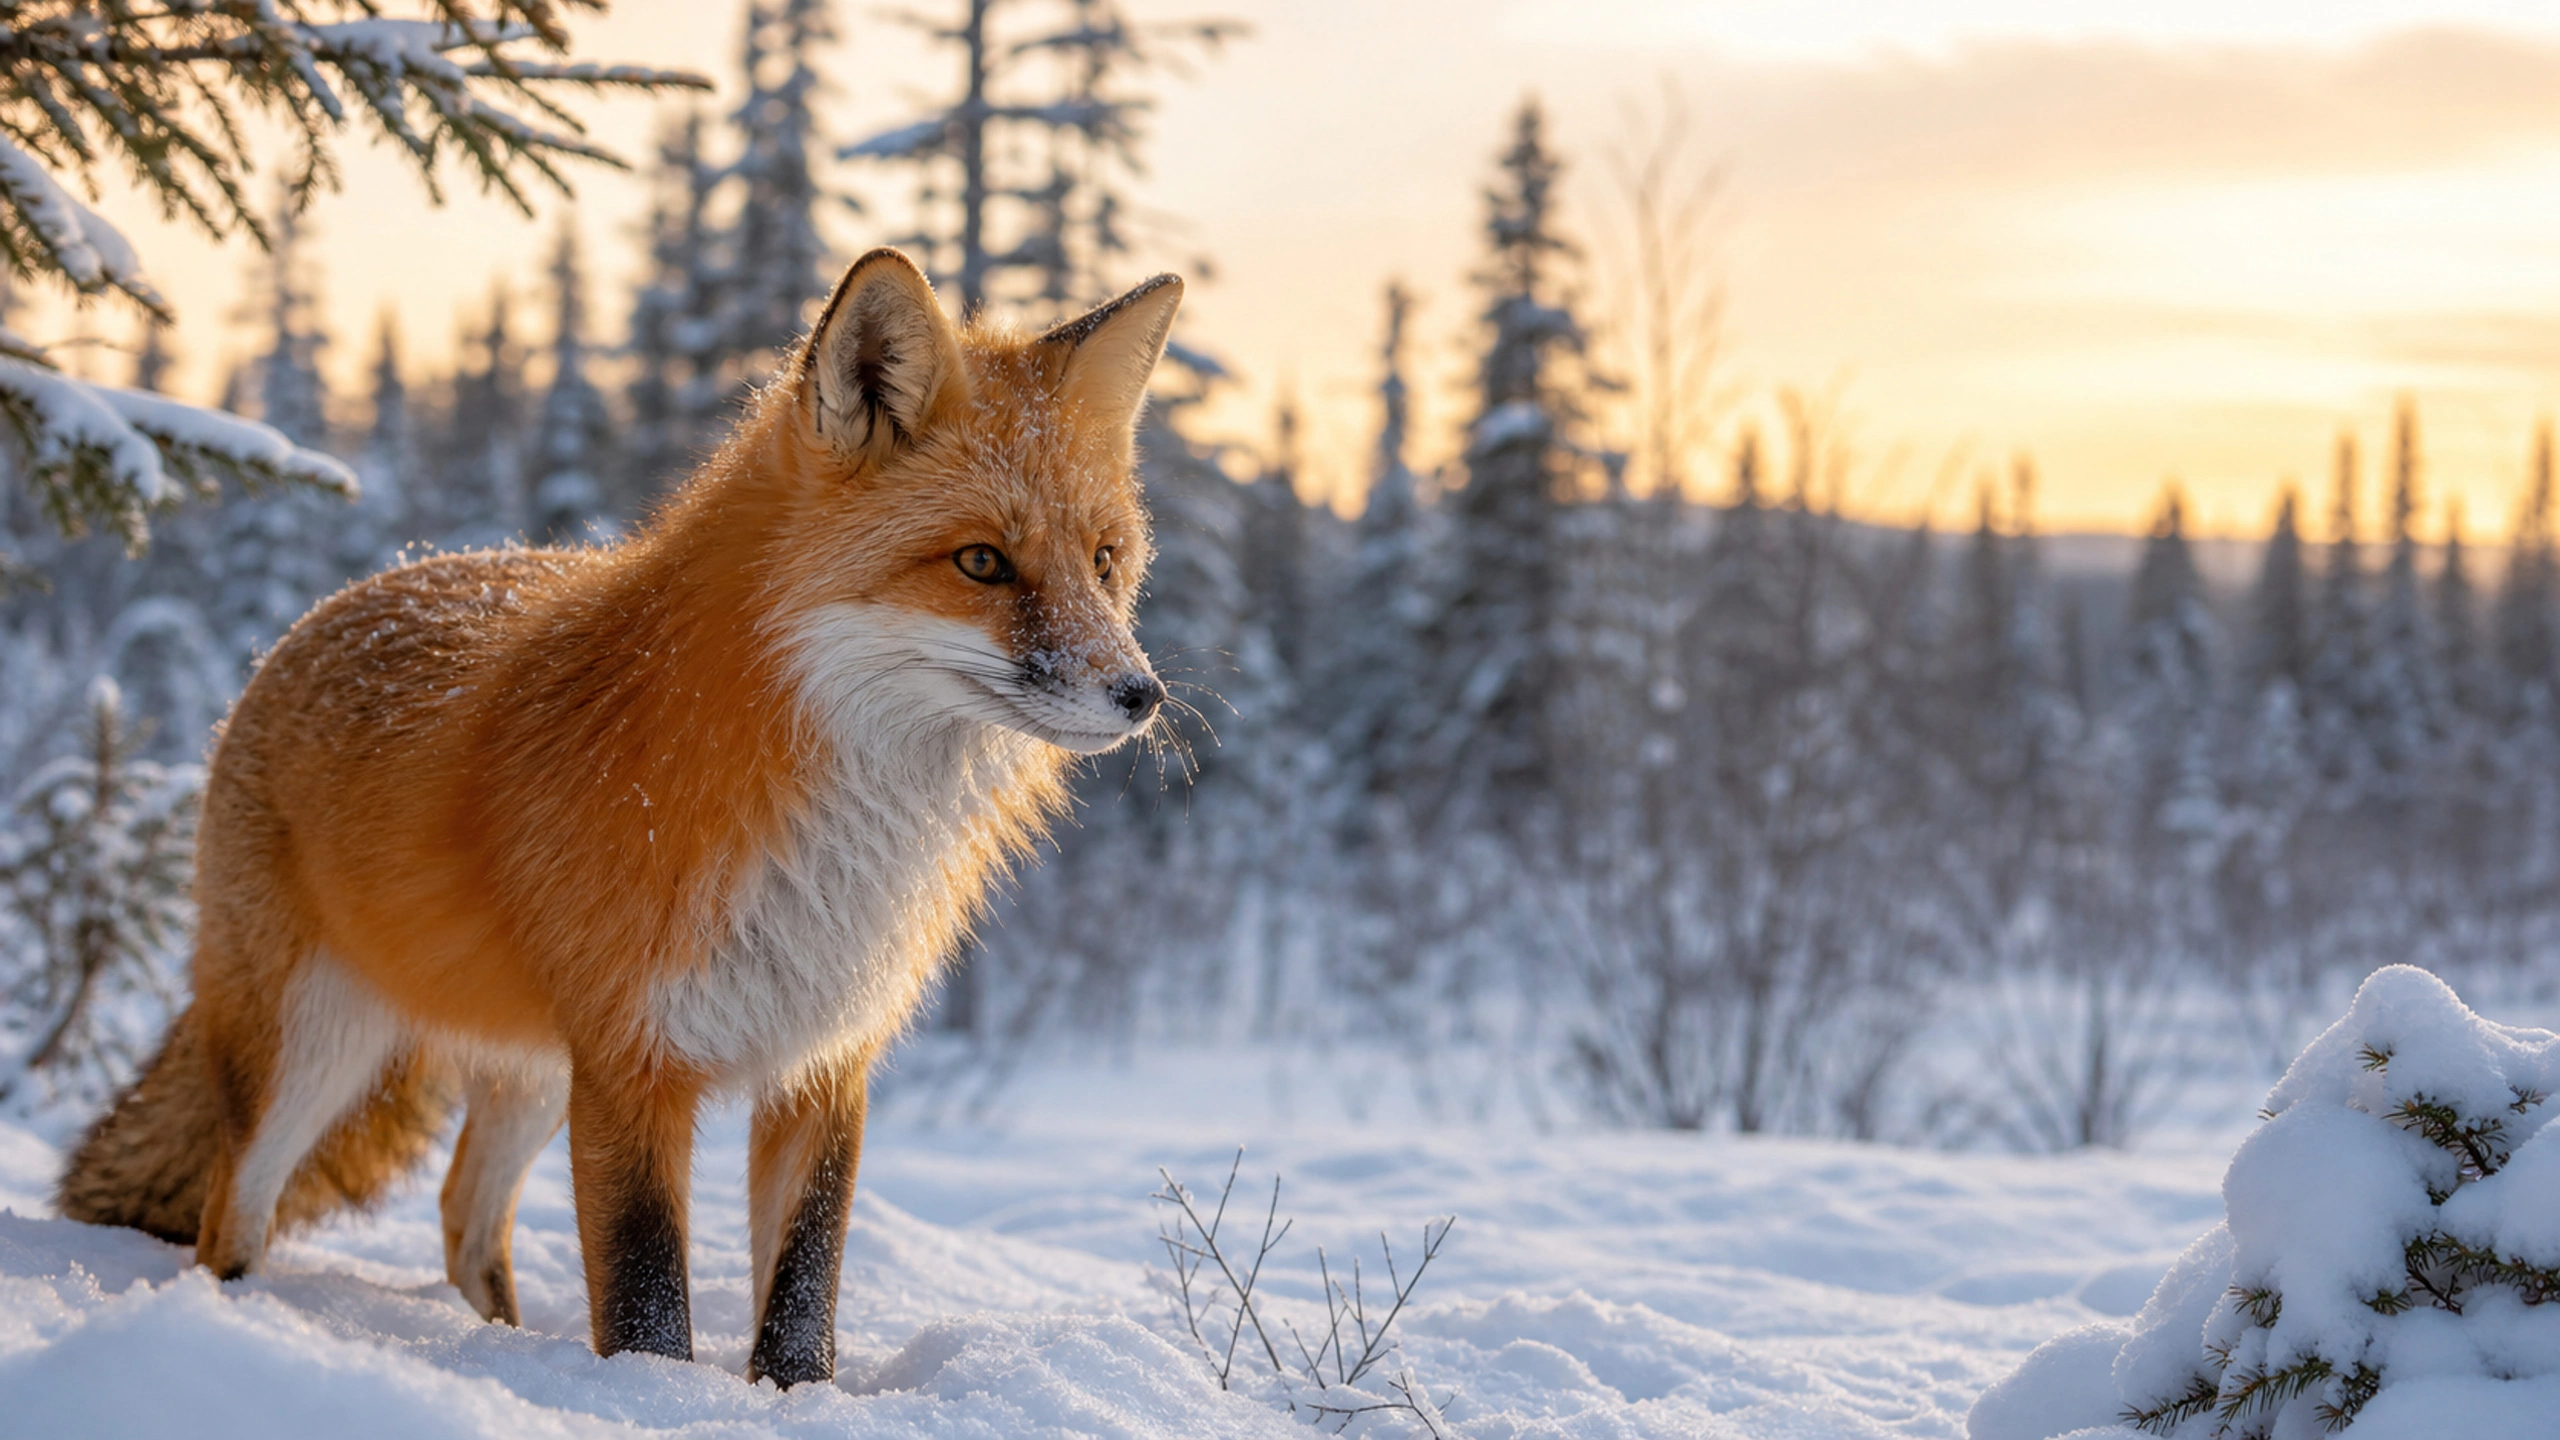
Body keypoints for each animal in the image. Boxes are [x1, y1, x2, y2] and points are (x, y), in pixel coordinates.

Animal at [52, 248, 1179, 1386]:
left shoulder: (822, 1062)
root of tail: (330, 608)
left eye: (1104, 562)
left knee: (464, 1217)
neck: (834, 836)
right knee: (232, 1212)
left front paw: (792, 1396)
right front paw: (653, 1397)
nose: (1142, 696)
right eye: (982, 562)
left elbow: (802, 1291)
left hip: (531, 1074)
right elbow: (644, 1295)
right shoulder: (632, 1060)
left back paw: (507, 1351)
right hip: (315, 1050)